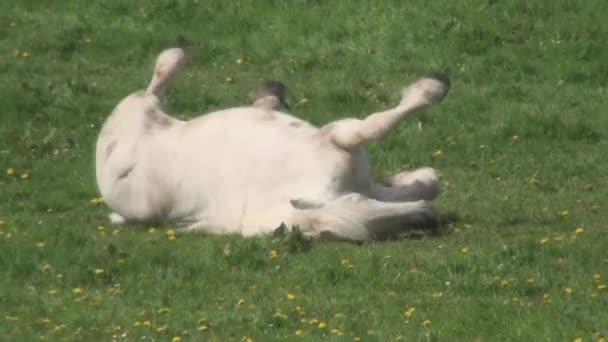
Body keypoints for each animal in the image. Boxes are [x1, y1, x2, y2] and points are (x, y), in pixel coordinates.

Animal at [94, 47, 446, 240]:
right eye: (355, 205)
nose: (429, 217)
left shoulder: (368, 185)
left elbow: (429, 182)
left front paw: (409, 179)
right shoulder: (339, 135)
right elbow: (379, 123)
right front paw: (432, 86)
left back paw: (269, 95)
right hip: (134, 110)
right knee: (155, 85)